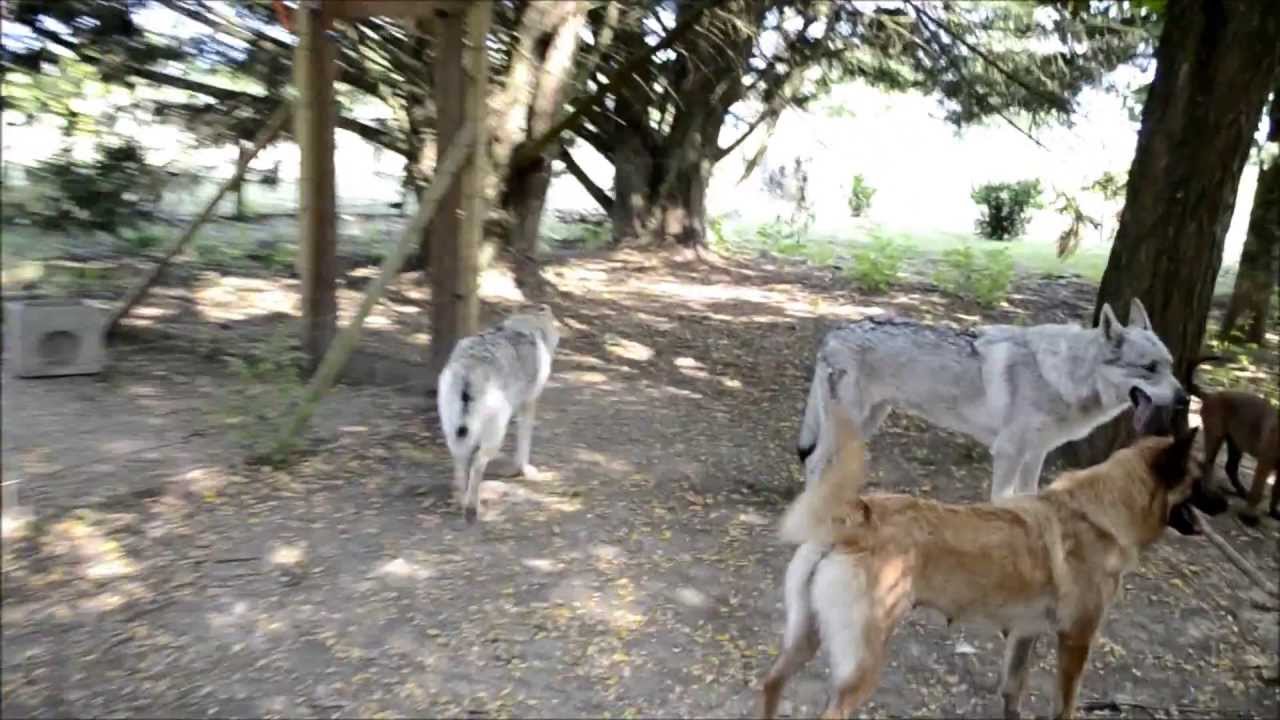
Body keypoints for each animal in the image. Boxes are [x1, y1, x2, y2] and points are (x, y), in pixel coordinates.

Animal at [1182, 353, 1274, 520]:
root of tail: (1210, 396)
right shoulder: (1265, 463)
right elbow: (1259, 489)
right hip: (1216, 435)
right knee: (1208, 463)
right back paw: (1210, 492)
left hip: (1235, 442)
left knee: (1229, 467)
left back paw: (1241, 491)